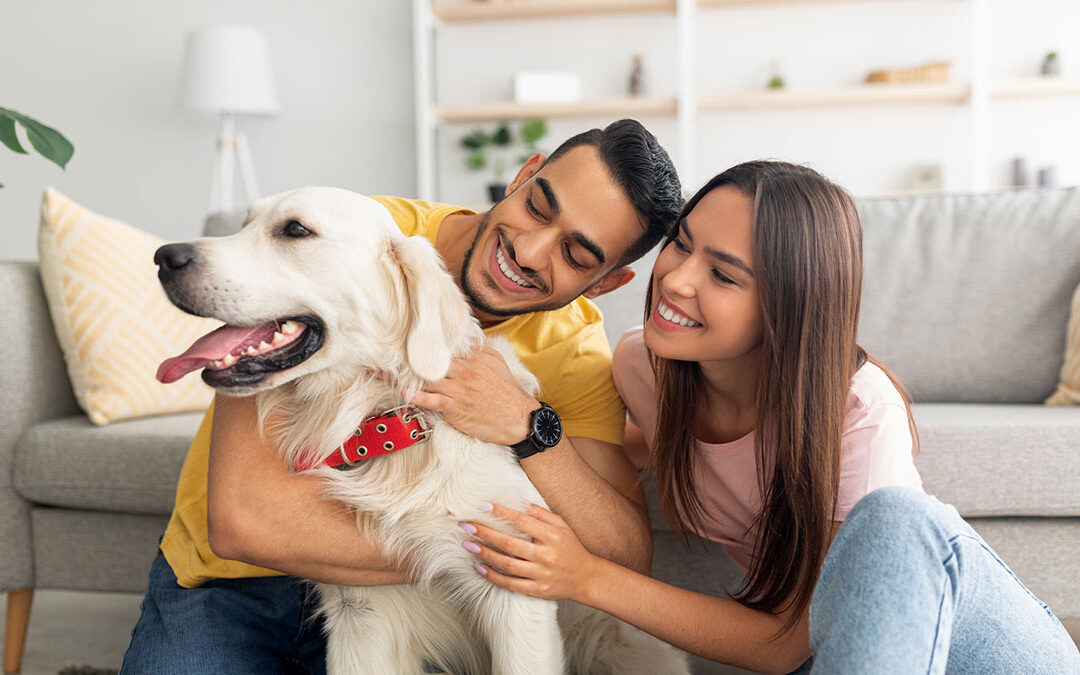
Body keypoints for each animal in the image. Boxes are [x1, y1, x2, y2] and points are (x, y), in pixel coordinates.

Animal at [154, 185, 682, 673]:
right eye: (243, 224)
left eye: (296, 230)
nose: (163, 257)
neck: (394, 422)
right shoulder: (358, 611)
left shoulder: (519, 592)